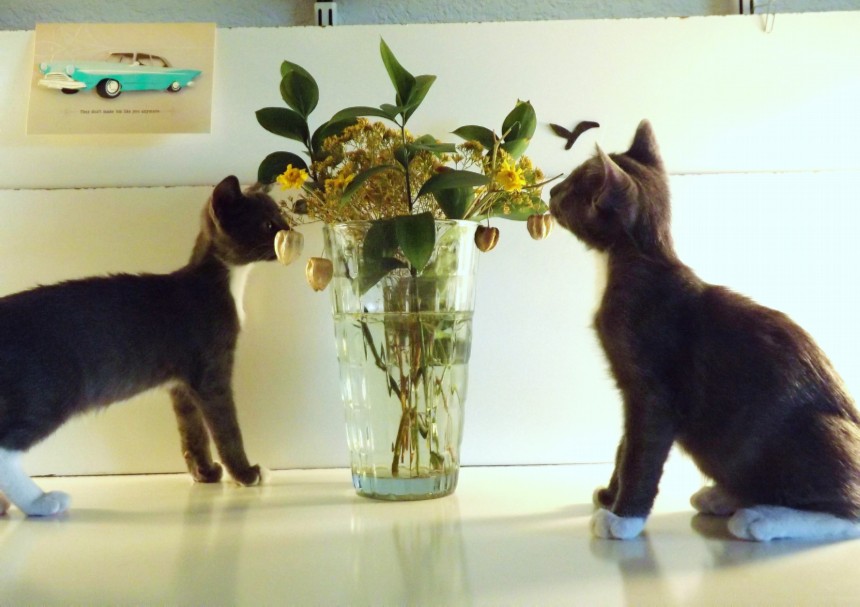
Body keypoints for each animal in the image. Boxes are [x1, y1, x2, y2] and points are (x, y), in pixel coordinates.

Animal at [0, 176, 290, 517]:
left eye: (282, 217)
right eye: (269, 224)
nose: (291, 230)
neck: (223, 281)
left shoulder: (181, 384)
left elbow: (192, 433)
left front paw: (205, 473)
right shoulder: (212, 373)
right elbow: (227, 429)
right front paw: (246, 474)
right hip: (46, 392)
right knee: (6, 449)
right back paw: (41, 502)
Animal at [549, 120, 860, 541]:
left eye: (575, 184)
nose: (551, 191)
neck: (628, 262)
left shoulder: (654, 391)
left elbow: (640, 452)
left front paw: (624, 518)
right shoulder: (630, 390)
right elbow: (623, 444)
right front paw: (610, 496)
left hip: (810, 434)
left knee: (848, 511)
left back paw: (762, 517)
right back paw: (725, 496)